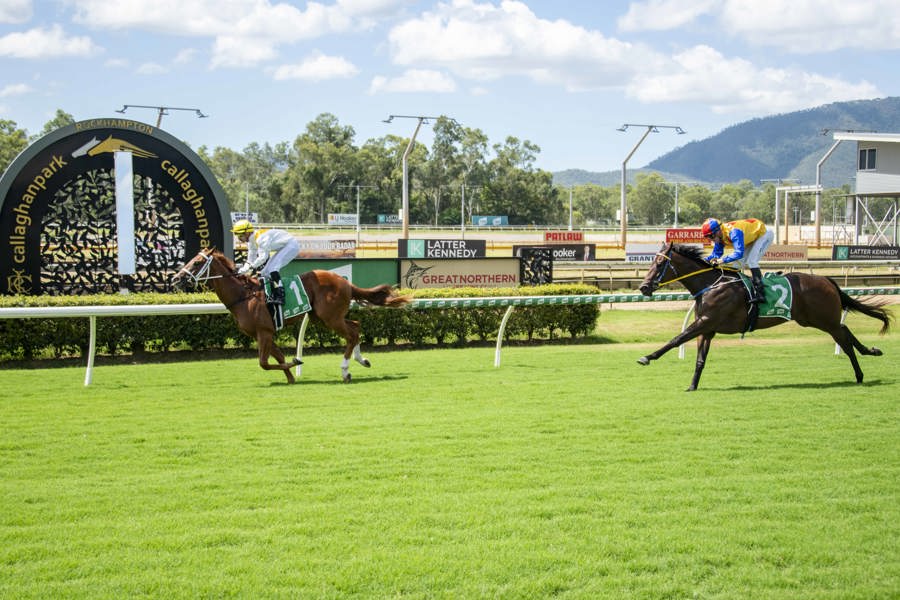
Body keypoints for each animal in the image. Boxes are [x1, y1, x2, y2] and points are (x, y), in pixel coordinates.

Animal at [172, 248, 410, 383]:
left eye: (197, 262)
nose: (175, 278)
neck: (243, 296)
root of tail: (344, 281)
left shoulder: (264, 332)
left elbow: (264, 363)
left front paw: (296, 362)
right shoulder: (264, 333)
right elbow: (277, 357)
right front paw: (291, 377)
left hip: (329, 317)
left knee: (351, 334)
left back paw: (345, 371)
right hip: (322, 317)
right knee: (356, 326)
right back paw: (362, 360)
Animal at [636, 242, 892, 391]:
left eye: (659, 264)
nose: (644, 287)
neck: (711, 284)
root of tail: (826, 279)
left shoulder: (706, 322)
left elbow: (676, 339)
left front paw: (647, 357)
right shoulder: (707, 328)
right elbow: (700, 359)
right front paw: (692, 386)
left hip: (823, 319)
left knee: (844, 339)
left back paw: (860, 374)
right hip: (813, 319)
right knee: (845, 331)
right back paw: (871, 352)